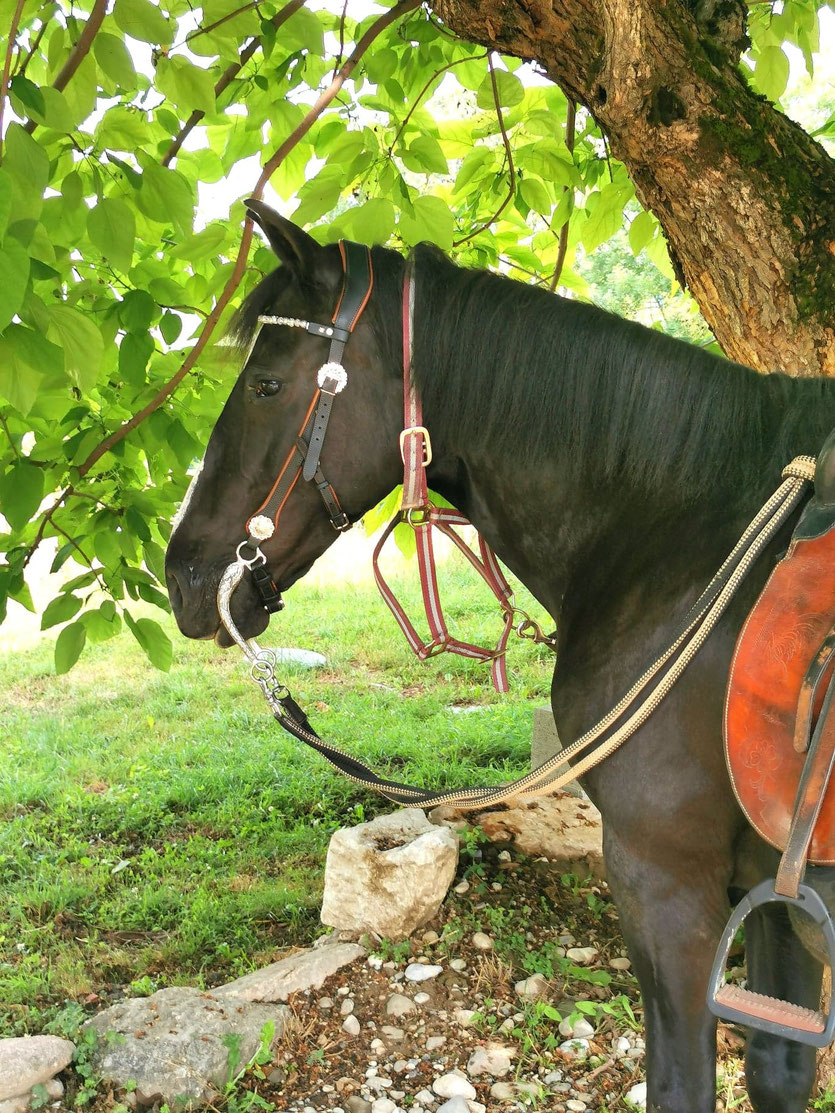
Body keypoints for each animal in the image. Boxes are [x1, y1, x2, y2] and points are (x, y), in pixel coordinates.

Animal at [165, 201, 835, 1113]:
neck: (687, 544)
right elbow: (777, 1071)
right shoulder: (774, 888)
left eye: (267, 384)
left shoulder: (669, 881)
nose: (183, 576)